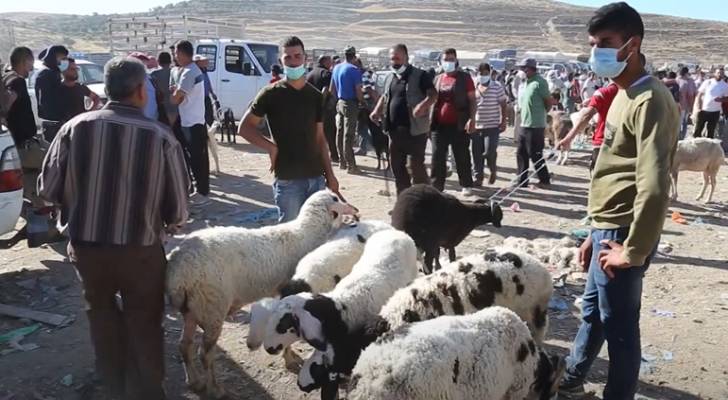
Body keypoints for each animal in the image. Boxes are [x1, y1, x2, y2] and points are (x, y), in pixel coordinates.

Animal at [166, 191, 358, 400]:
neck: (305, 233)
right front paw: (289, 358)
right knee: (205, 353)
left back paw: (194, 381)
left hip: (192, 309)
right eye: (335, 198)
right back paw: (216, 389)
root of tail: (179, 265)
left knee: (184, 345)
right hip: (212, 307)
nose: (354, 209)